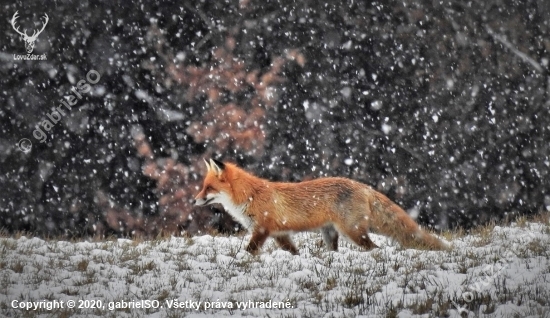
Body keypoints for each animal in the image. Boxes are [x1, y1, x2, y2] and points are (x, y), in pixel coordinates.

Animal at [194, 159, 448, 256]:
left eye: (208, 188)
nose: (194, 201)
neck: (251, 196)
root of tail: (363, 186)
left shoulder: (262, 230)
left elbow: (249, 250)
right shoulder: (280, 234)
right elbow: (293, 251)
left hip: (352, 232)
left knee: (373, 247)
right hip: (330, 234)